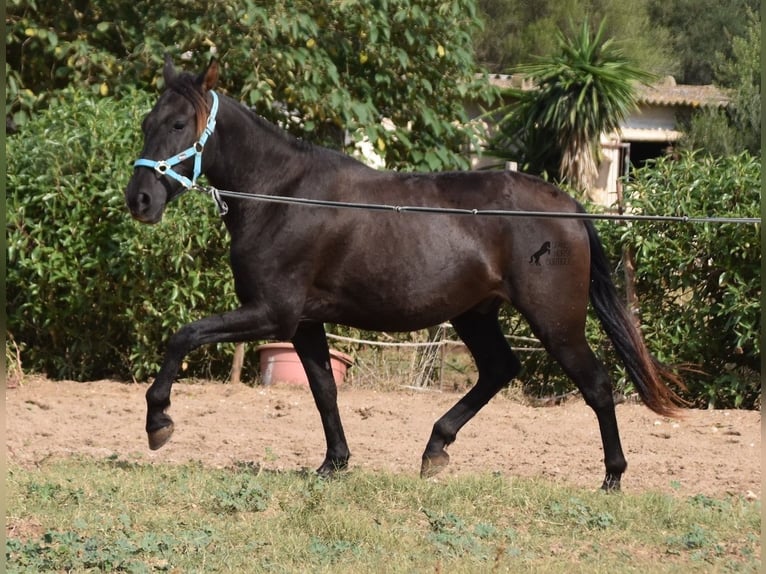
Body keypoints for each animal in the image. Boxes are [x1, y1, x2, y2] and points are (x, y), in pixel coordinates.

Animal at [126, 57, 684, 490]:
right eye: (147, 121)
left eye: (179, 125)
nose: (140, 200)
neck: (281, 195)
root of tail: (568, 206)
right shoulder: (303, 322)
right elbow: (324, 390)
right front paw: (334, 464)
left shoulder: (272, 313)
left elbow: (183, 335)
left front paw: (158, 422)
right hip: (475, 314)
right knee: (500, 369)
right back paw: (435, 449)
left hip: (555, 321)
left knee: (597, 385)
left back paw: (612, 477)